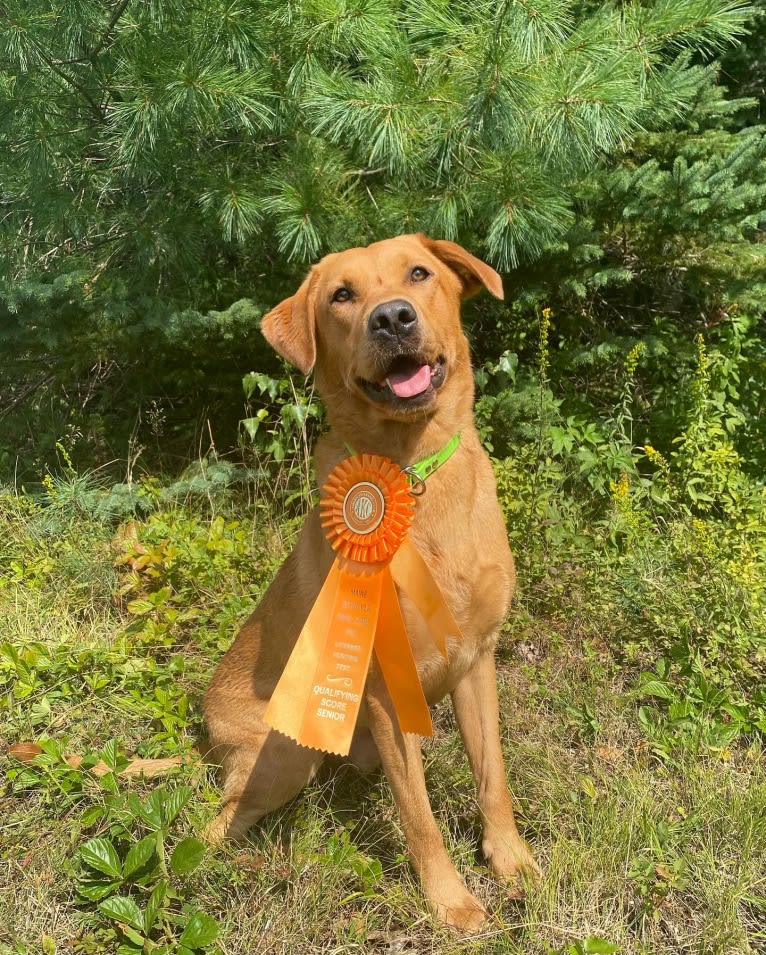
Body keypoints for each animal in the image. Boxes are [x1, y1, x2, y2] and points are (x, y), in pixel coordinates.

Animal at [204, 235, 540, 928]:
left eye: (419, 274)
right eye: (341, 295)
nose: (391, 319)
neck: (413, 473)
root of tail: (204, 718)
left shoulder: (476, 662)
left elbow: (492, 779)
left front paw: (509, 858)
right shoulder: (388, 690)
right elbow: (419, 816)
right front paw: (449, 901)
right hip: (285, 756)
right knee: (218, 822)